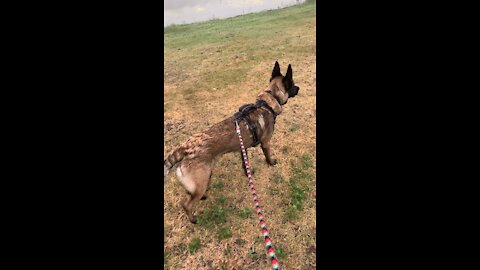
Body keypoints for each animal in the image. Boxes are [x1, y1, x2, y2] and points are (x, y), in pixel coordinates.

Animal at [165, 61, 300, 224]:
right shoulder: (266, 143)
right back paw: (193, 219)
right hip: (200, 182)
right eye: (292, 84)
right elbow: (268, 155)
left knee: (190, 193)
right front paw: (271, 162)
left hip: (201, 180)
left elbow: (244, 163)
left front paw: (247, 174)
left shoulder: (243, 148)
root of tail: (185, 147)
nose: (299, 88)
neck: (267, 101)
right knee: (186, 204)